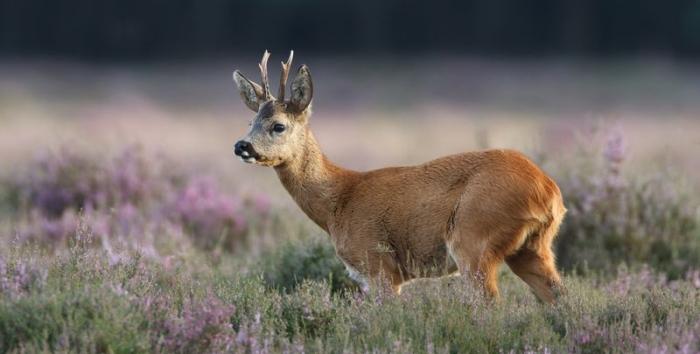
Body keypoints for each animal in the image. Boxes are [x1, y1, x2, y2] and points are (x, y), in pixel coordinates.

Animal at [232, 51, 568, 302]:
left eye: (278, 125)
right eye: (250, 121)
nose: (241, 146)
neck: (338, 202)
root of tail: (548, 191)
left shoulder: (378, 263)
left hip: (474, 237)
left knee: (490, 302)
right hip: (533, 247)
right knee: (559, 297)